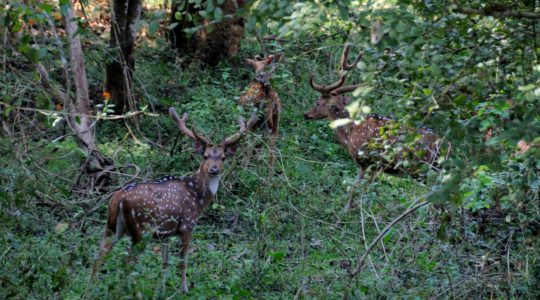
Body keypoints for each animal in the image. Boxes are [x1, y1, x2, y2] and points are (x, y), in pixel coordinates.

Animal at [90, 108, 255, 292]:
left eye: (223, 157)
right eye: (205, 156)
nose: (214, 169)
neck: (197, 197)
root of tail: (117, 198)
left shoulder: (165, 233)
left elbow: (165, 261)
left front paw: (162, 289)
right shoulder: (187, 225)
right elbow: (182, 261)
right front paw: (184, 289)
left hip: (112, 227)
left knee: (99, 255)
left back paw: (92, 288)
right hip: (140, 231)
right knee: (128, 262)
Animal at [306, 44, 440, 211]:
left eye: (318, 103)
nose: (306, 114)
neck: (350, 133)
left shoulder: (368, 161)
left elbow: (359, 190)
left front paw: (349, 212)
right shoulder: (366, 166)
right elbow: (359, 189)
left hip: (424, 167)